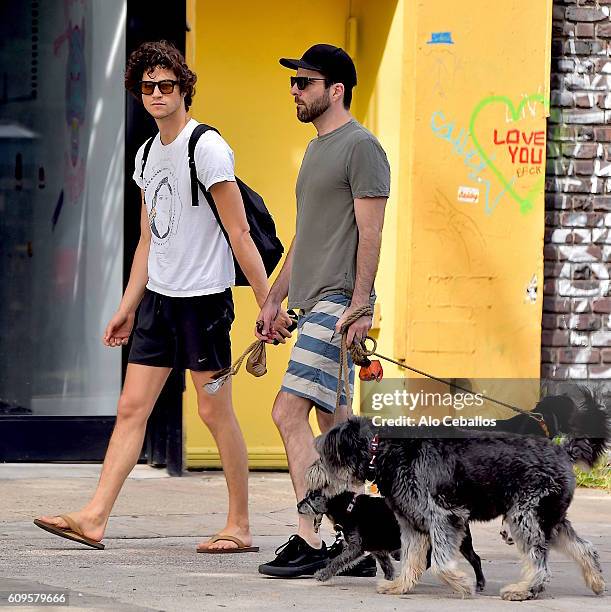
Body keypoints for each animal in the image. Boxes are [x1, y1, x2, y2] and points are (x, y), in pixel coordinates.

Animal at [298, 486, 488, 592]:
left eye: (313, 497)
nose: (298, 505)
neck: (347, 507)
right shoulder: (377, 549)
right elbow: (386, 565)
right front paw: (390, 579)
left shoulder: (355, 547)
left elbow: (338, 560)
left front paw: (323, 574)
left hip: (458, 541)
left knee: (474, 559)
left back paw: (480, 583)